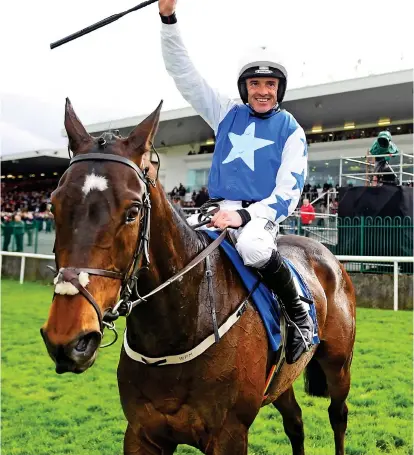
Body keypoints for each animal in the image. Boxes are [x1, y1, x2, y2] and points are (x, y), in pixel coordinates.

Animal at [41, 100, 356, 455]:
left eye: (133, 211)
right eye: (53, 205)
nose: (68, 338)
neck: (177, 327)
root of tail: (324, 249)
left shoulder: (229, 435)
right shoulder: (140, 432)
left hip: (338, 365)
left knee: (338, 415)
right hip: (282, 379)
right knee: (295, 421)